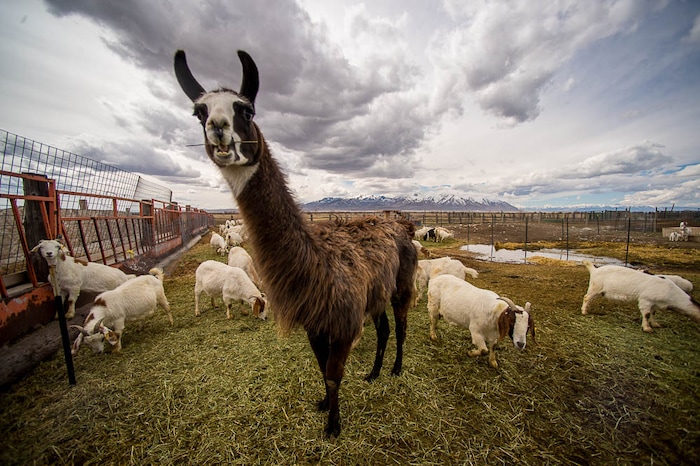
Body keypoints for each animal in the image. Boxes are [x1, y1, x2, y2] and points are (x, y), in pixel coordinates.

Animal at [175, 49, 417, 439]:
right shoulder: (316, 324)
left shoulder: (342, 323)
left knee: (402, 326)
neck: (316, 262)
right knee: (383, 330)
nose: (218, 130)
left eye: (246, 109)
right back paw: (375, 372)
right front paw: (324, 406)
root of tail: (399, 222)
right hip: (376, 292)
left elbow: (333, 375)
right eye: (200, 112)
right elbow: (322, 370)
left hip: (401, 284)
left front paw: (333, 425)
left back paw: (395, 369)